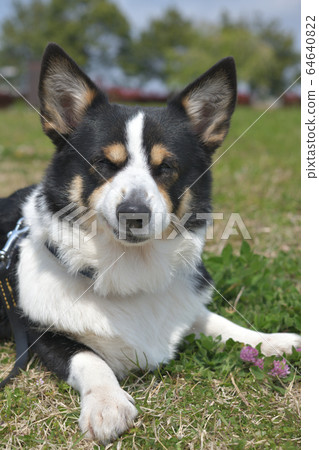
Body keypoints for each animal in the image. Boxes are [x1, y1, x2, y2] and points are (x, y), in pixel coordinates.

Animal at [0, 44, 300, 444]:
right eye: (103, 163)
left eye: (166, 167)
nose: (133, 214)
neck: (131, 269)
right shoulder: (39, 335)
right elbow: (89, 357)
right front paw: (107, 405)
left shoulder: (187, 305)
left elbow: (223, 324)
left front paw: (276, 341)